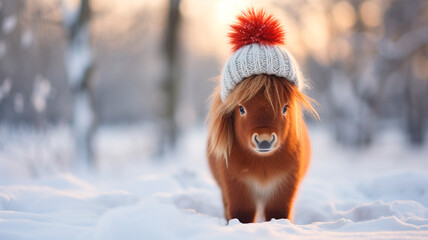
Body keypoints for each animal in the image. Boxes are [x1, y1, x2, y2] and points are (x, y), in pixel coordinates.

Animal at [207, 73, 318, 223]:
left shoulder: (283, 187)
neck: (262, 162)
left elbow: (278, 214)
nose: (264, 140)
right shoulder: (237, 186)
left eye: (285, 108)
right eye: (241, 109)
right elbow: (242, 215)